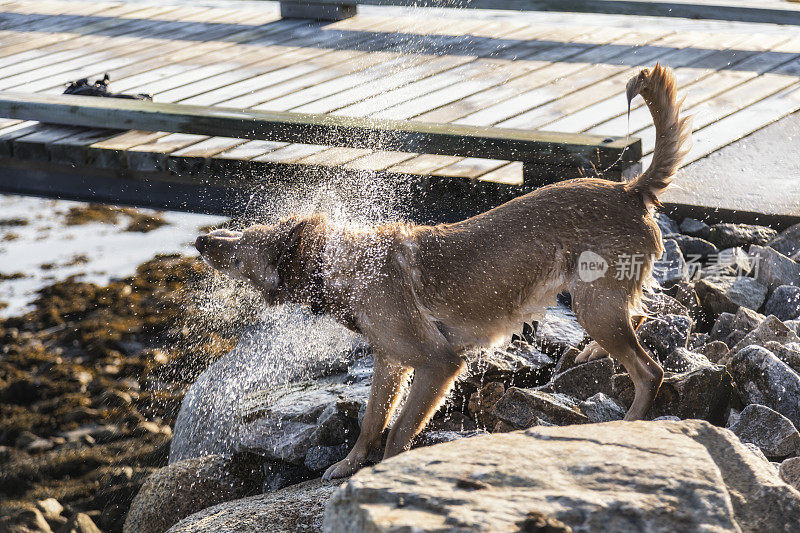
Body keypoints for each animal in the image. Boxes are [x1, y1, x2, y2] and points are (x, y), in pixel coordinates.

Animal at [197, 63, 692, 478]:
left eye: (241, 250)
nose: (202, 241)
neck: (346, 267)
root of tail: (630, 189)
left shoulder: (438, 363)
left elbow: (397, 432)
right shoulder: (390, 363)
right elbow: (371, 421)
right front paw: (349, 464)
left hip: (594, 303)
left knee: (649, 370)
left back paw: (629, 420)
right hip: (598, 300)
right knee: (639, 317)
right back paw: (591, 354)